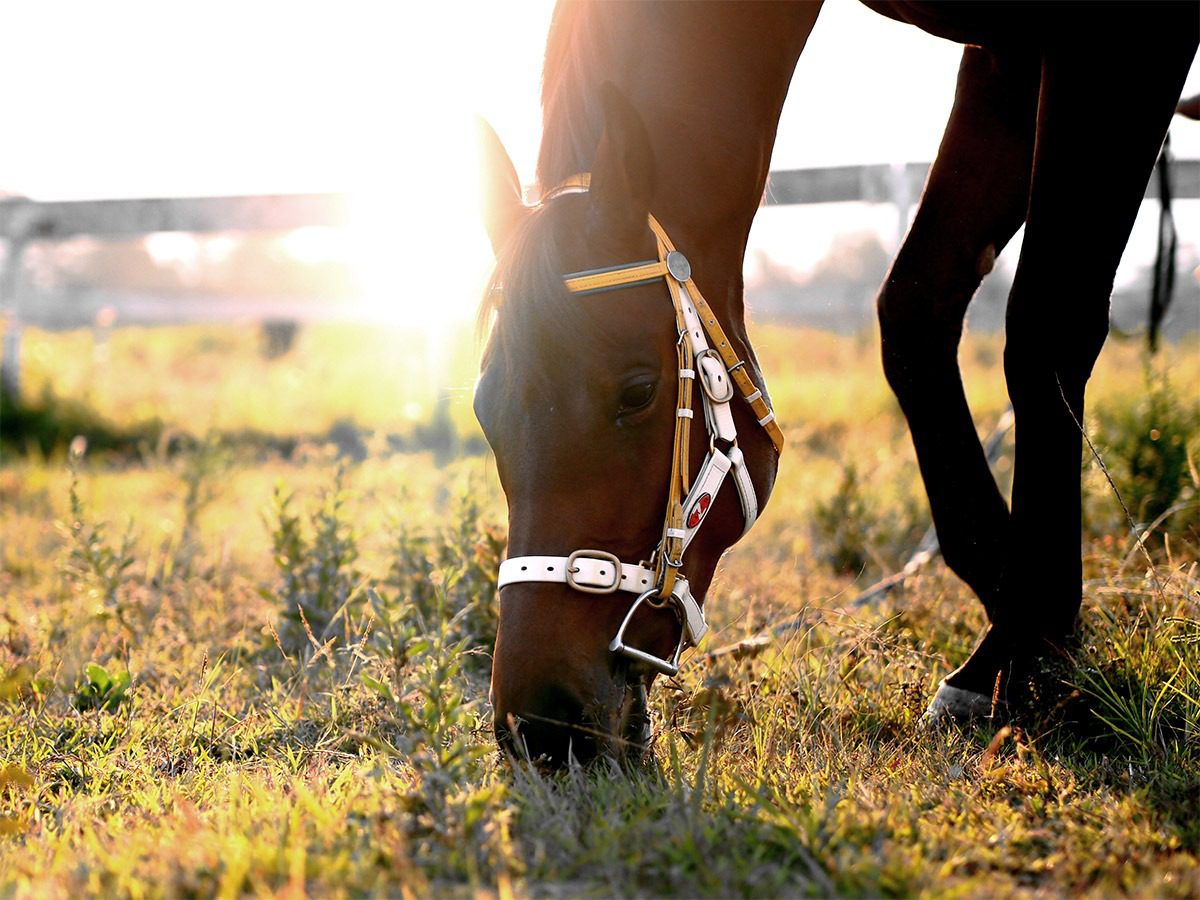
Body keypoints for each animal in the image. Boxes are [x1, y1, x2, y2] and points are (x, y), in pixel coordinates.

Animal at [473, 0, 1199, 765]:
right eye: (484, 411)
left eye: (637, 391)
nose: (541, 726)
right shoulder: (1007, 57)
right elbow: (914, 312)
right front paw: (1020, 636)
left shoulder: (1114, 45)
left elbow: (1043, 331)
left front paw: (1026, 654)